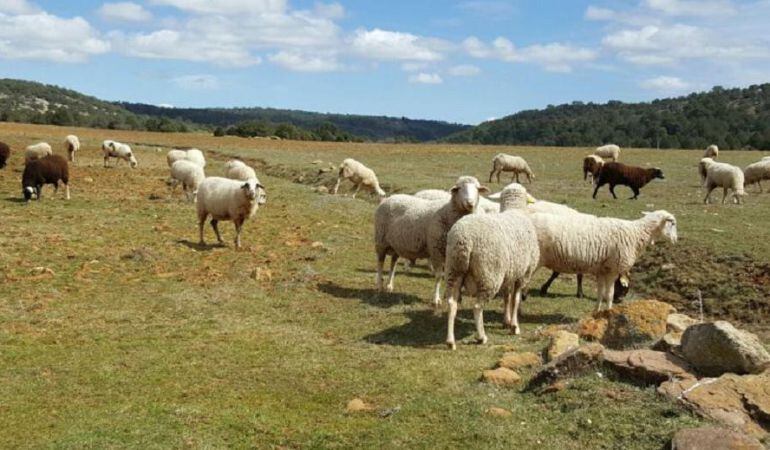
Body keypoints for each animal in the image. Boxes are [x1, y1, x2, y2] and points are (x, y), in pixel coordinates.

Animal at [440, 183, 536, 348]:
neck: (515, 210)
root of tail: (463, 239)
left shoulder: (510, 273)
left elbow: (507, 297)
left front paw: (506, 321)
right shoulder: (523, 274)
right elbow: (515, 300)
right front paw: (514, 326)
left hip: (454, 269)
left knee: (452, 304)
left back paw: (450, 341)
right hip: (489, 274)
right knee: (477, 307)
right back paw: (481, 337)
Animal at [524, 210, 676, 312]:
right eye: (673, 223)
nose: (676, 239)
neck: (636, 233)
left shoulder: (601, 270)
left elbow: (600, 293)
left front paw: (596, 311)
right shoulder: (612, 269)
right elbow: (609, 294)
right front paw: (609, 312)